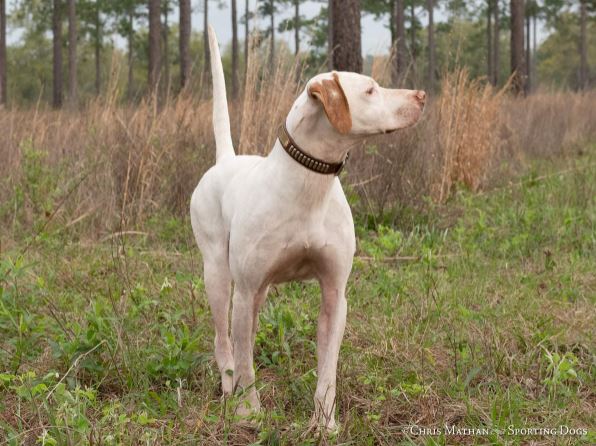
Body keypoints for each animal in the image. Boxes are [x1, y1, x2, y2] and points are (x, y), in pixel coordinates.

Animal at [191, 26, 424, 430]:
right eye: (370, 90)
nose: (422, 96)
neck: (309, 186)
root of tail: (225, 160)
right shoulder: (246, 289)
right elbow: (245, 363)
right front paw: (248, 413)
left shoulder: (335, 293)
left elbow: (327, 368)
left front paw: (325, 423)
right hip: (219, 276)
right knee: (226, 342)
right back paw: (228, 390)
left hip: (258, 293)